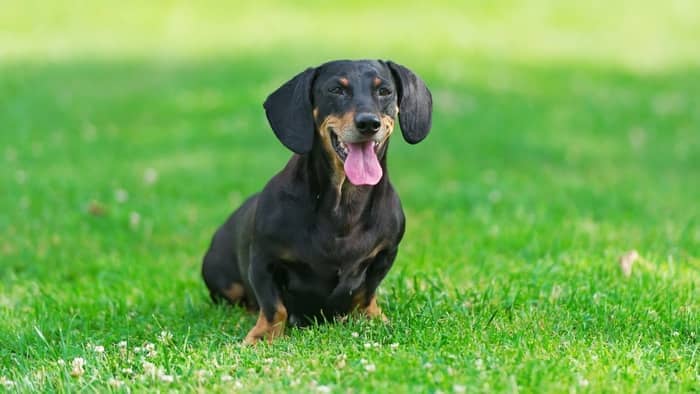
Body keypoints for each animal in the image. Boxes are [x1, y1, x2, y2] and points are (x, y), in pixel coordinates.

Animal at [201, 59, 432, 344]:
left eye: (384, 91)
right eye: (336, 89)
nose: (369, 123)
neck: (344, 205)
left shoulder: (385, 254)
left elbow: (366, 293)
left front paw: (372, 318)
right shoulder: (264, 259)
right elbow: (273, 306)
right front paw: (262, 336)